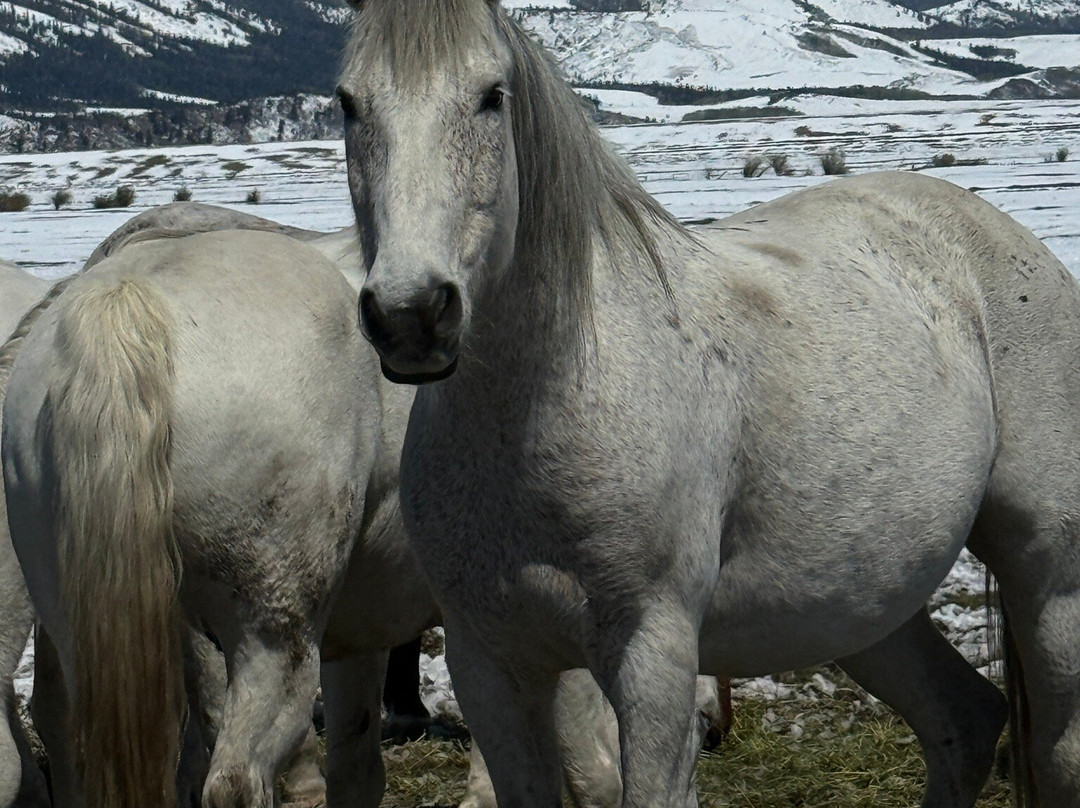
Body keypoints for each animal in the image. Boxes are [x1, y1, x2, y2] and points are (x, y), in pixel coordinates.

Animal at [340, 1, 1079, 805]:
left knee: (1056, 749)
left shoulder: (651, 654)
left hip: (1047, 573)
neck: (543, 409)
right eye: (348, 103)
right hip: (863, 607)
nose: (411, 313)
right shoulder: (490, 664)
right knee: (964, 722)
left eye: (490, 96)